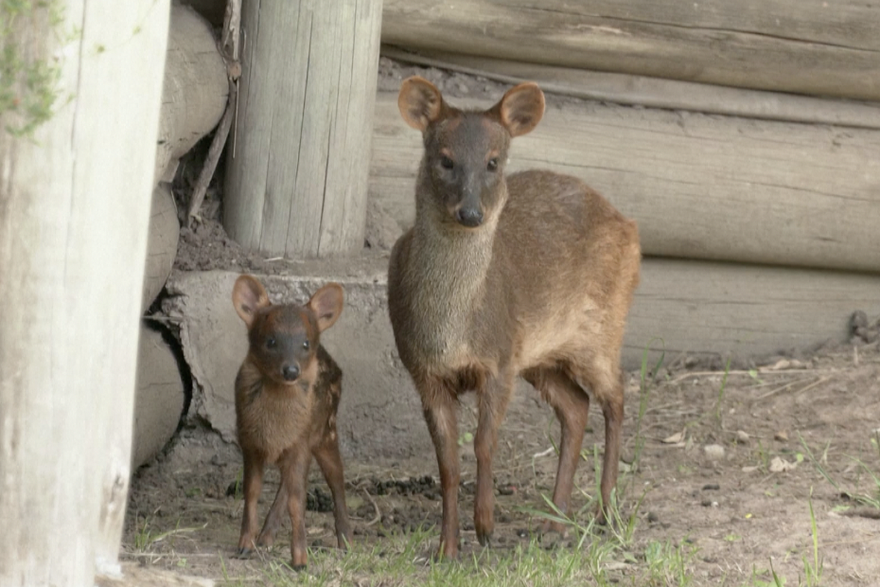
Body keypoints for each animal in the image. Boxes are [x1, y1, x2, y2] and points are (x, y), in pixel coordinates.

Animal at [232, 276, 352, 568]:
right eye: (271, 341)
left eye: (305, 343)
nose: (290, 370)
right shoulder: (249, 442)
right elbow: (252, 492)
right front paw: (245, 546)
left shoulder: (301, 442)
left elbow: (298, 502)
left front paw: (300, 560)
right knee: (287, 487)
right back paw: (266, 537)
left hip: (326, 430)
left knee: (337, 479)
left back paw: (346, 541)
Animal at [384, 76, 640, 560]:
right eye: (445, 159)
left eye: (493, 161)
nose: (470, 213)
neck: (453, 329)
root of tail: (629, 226)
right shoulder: (424, 371)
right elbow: (448, 464)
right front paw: (447, 547)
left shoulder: (498, 359)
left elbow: (485, 443)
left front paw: (485, 526)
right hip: (541, 355)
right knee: (576, 406)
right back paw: (556, 523)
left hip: (601, 329)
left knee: (616, 396)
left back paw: (607, 512)